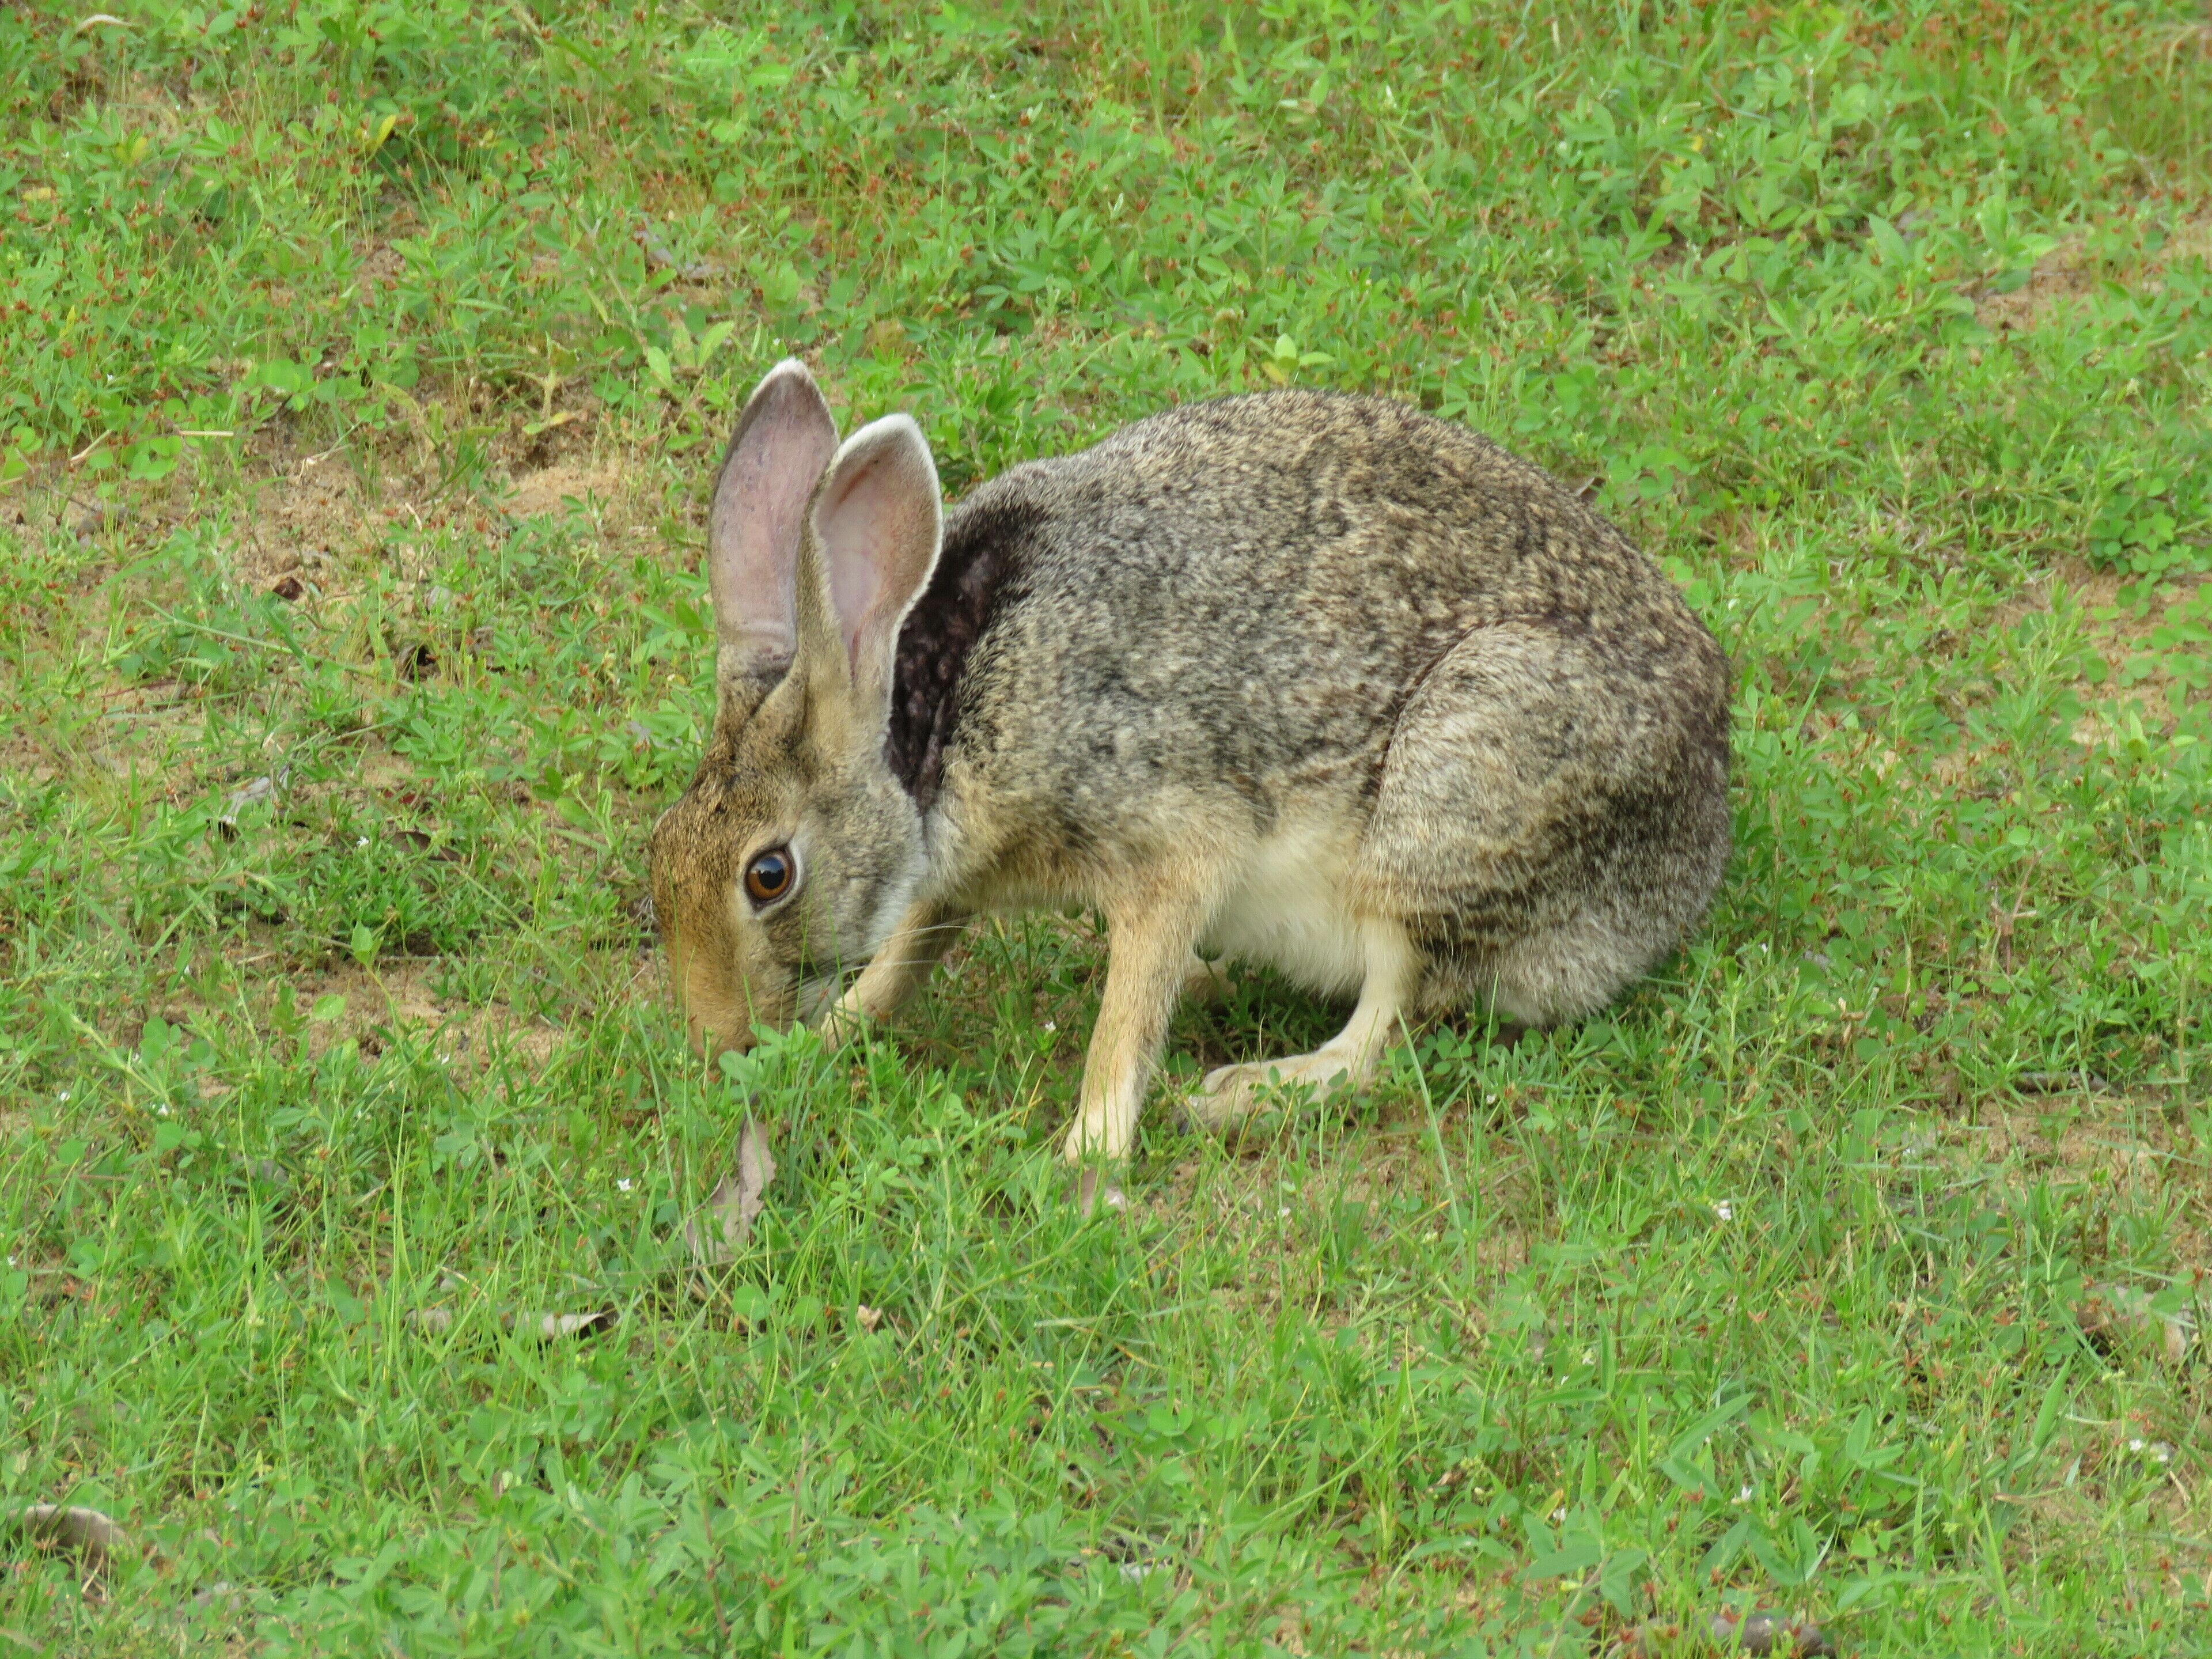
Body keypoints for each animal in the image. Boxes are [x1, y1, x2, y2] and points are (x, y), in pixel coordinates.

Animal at [648, 359, 1732, 1179]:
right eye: (660, 852)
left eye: (768, 875)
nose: (720, 1043)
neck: (943, 717)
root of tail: (1698, 858)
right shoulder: (952, 876)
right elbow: (908, 952)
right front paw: (828, 1043)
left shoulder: (1172, 846)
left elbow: (1124, 1022)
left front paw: (1085, 1158)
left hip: (1452, 793)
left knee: (1386, 1024)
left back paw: (1238, 1094)